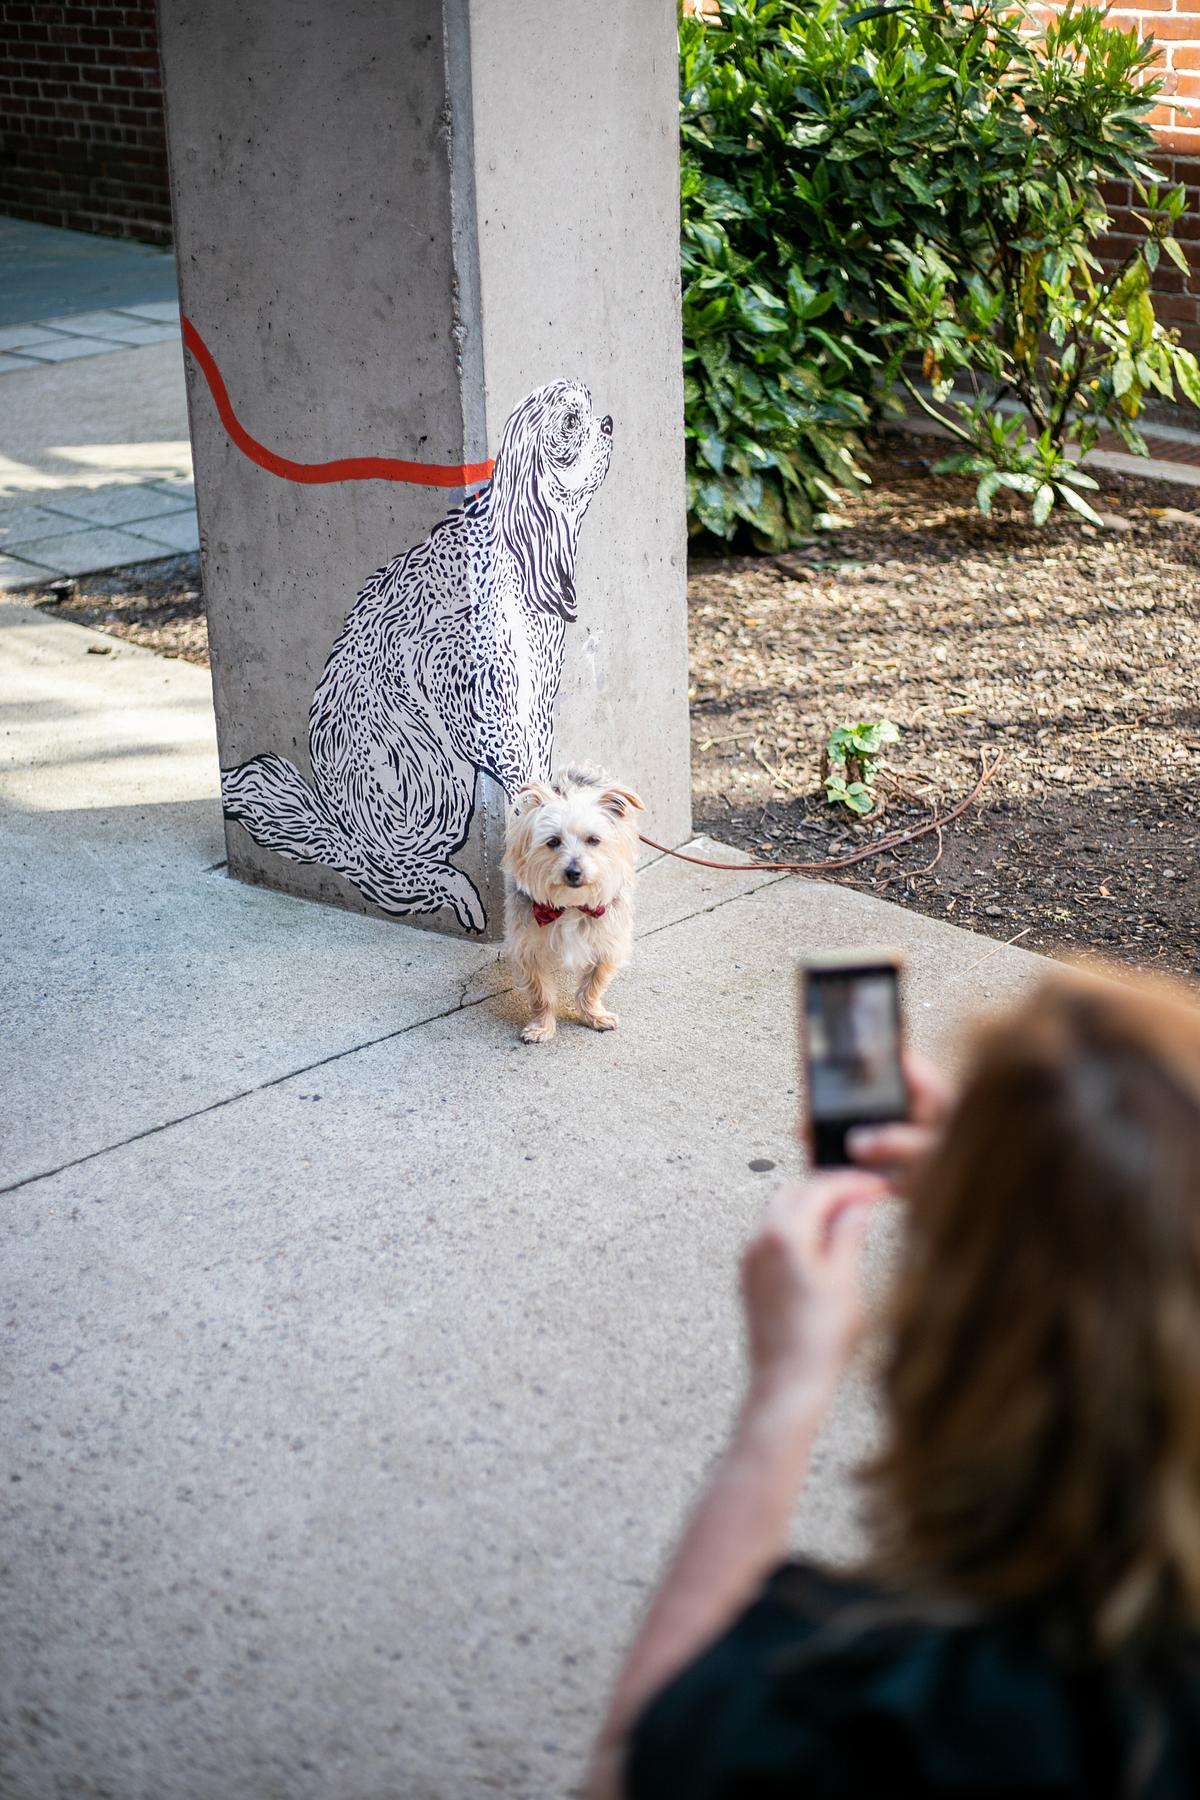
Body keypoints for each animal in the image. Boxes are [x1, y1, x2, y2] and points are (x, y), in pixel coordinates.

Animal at [222, 385, 615, 936]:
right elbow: (516, 764)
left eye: (588, 406)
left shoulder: (535, 690)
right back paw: (450, 887)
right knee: (384, 869)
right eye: (570, 422)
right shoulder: (464, 681)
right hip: (430, 776)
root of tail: (339, 824)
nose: (607, 423)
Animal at [503, 763, 644, 1044]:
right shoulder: (528, 948)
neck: (570, 906)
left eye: (594, 840)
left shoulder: (607, 943)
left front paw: (594, 1016)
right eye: (553, 842)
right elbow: (541, 994)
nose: (573, 871)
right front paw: (541, 1026)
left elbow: (592, 986)